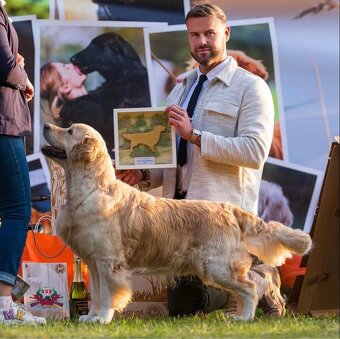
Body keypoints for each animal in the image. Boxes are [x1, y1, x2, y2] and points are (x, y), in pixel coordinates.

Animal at [42, 124, 314, 324]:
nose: (45, 125)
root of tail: (229, 208)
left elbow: (108, 295)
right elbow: (97, 294)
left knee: (249, 286)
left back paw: (244, 317)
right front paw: (91, 317)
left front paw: (103, 319)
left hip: (217, 266)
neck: (91, 189)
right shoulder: (94, 262)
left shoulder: (109, 262)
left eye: (69, 130)